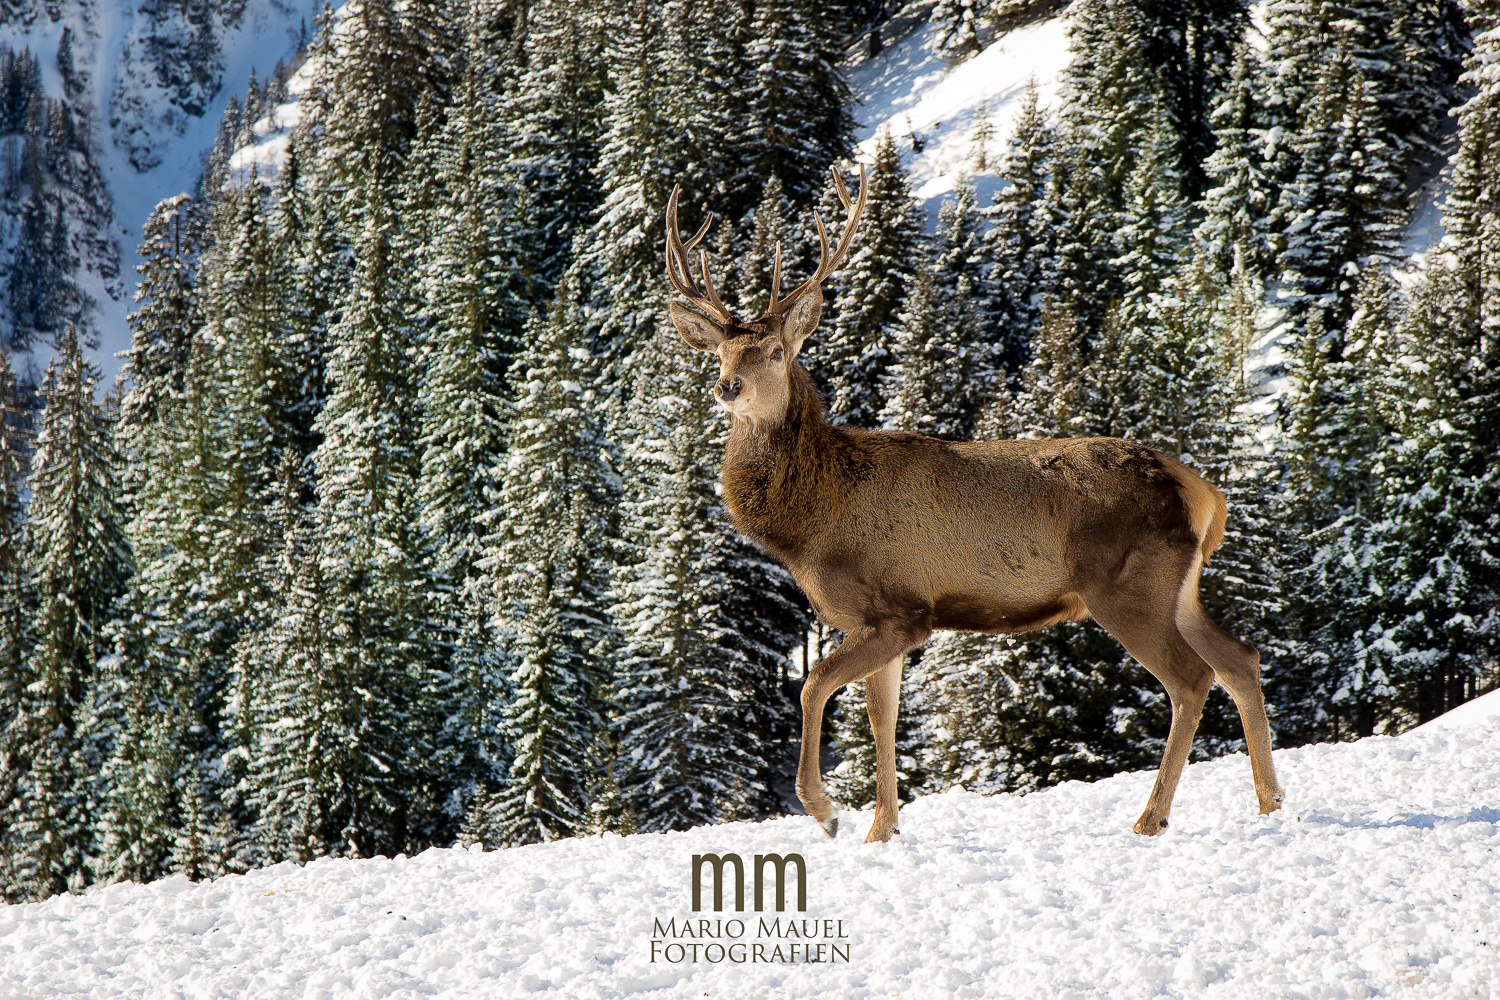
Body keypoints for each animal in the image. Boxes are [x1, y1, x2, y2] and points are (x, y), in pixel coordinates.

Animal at [663, 162, 1284, 845]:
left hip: (1128, 585)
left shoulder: (900, 609)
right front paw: (881, 832)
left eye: (775, 351)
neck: (809, 525)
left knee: (1192, 679)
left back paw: (1152, 817)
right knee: (1240, 658)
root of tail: (1202, 491)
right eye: (720, 352)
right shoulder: (877, 623)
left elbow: (812, 687)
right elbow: (882, 718)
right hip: (1180, 587)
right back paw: (1271, 803)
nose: (727, 386)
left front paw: (826, 812)